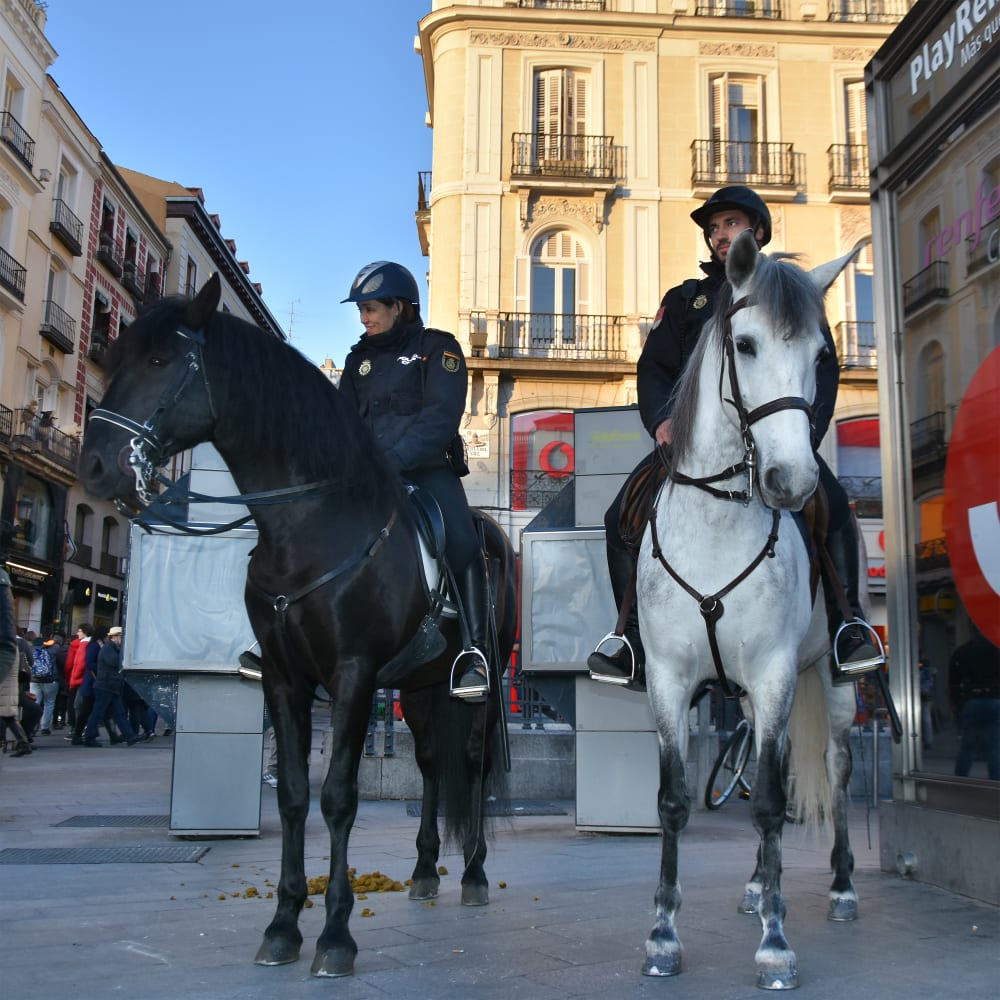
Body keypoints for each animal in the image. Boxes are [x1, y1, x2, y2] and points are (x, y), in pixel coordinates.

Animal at [78, 274, 516, 976]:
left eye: (160, 361)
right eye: (117, 360)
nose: (95, 466)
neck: (308, 525)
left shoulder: (352, 678)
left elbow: (338, 796)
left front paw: (335, 935)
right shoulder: (285, 680)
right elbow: (289, 798)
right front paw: (283, 924)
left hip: (477, 682)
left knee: (470, 764)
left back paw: (472, 873)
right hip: (420, 686)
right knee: (429, 764)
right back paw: (425, 870)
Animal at [636, 230, 864, 988]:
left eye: (822, 356)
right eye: (744, 343)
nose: (790, 481)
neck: (719, 520)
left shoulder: (772, 674)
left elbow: (767, 803)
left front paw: (775, 946)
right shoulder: (669, 680)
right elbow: (674, 801)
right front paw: (662, 936)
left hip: (832, 679)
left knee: (835, 768)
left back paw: (840, 888)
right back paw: (760, 886)